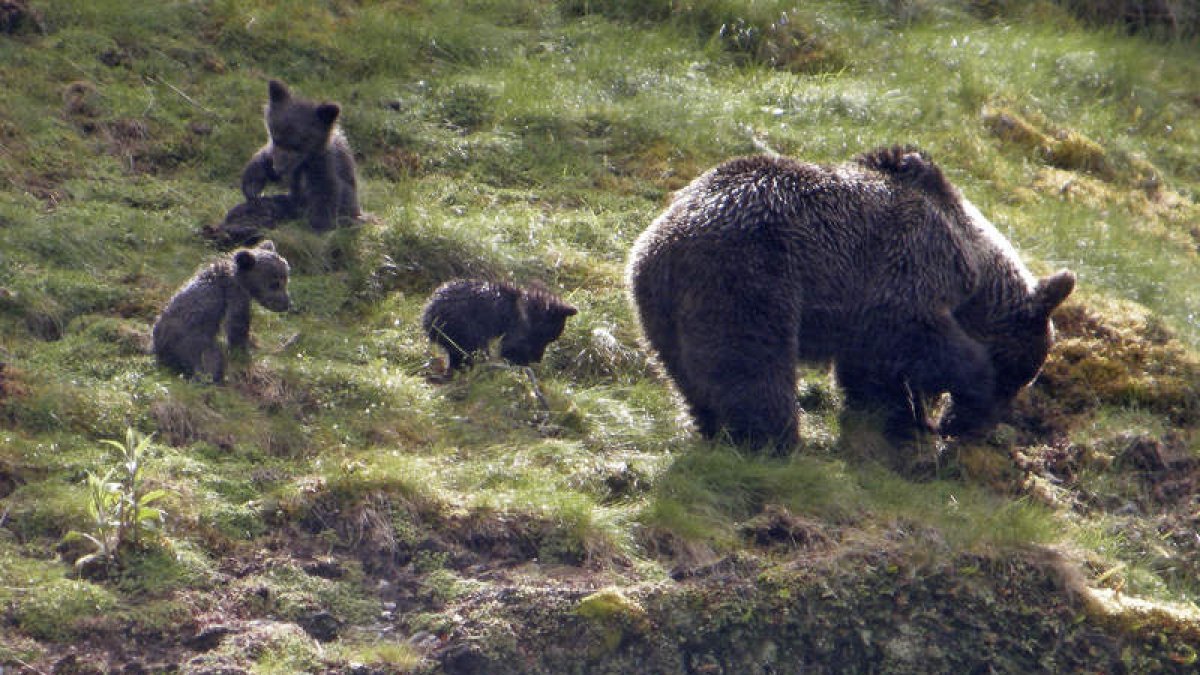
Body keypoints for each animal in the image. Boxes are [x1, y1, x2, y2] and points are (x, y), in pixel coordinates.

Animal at [152, 240, 291, 383]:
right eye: (275, 283)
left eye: (286, 279)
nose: (287, 304)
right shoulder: (234, 294)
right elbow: (237, 325)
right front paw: (244, 356)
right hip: (192, 342)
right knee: (209, 360)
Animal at [240, 79, 360, 232]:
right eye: (275, 137)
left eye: (297, 145)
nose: (278, 169)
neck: (305, 162)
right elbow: (262, 159)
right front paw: (252, 187)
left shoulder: (324, 167)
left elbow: (326, 193)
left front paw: (320, 225)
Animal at [421, 279, 578, 377]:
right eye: (545, 337)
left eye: (549, 339)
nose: (537, 359)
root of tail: (429, 314)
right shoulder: (515, 329)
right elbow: (511, 348)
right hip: (463, 328)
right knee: (470, 350)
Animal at [626, 146, 1075, 451]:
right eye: (1016, 375)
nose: (968, 427)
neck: (973, 261)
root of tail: (668, 239)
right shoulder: (909, 263)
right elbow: (914, 333)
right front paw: (961, 385)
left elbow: (872, 367)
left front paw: (892, 414)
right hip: (749, 277)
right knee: (752, 362)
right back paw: (773, 439)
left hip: (657, 306)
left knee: (686, 372)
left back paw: (710, 423)